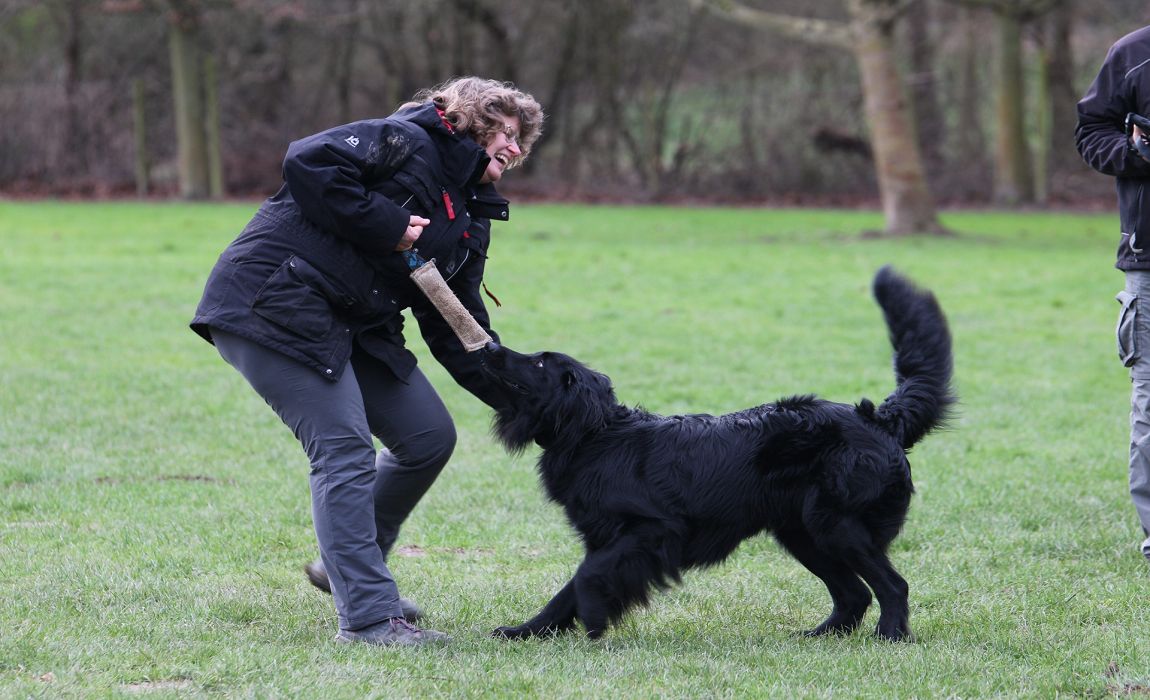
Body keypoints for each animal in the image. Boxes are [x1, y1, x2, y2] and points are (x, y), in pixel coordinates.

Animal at [480, 266, 956, 639]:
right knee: (854, 593)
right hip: (804, 532)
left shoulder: (653, 530)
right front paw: (527, 631)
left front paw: (594, 618)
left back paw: (890, 635)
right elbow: (565, 592)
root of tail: (879, 419)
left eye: (540, 363)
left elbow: (586, 577)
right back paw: (822, 635)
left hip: (838, 526)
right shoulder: (606, 537)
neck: (595, 435)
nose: (490, 347)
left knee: (892, 586)